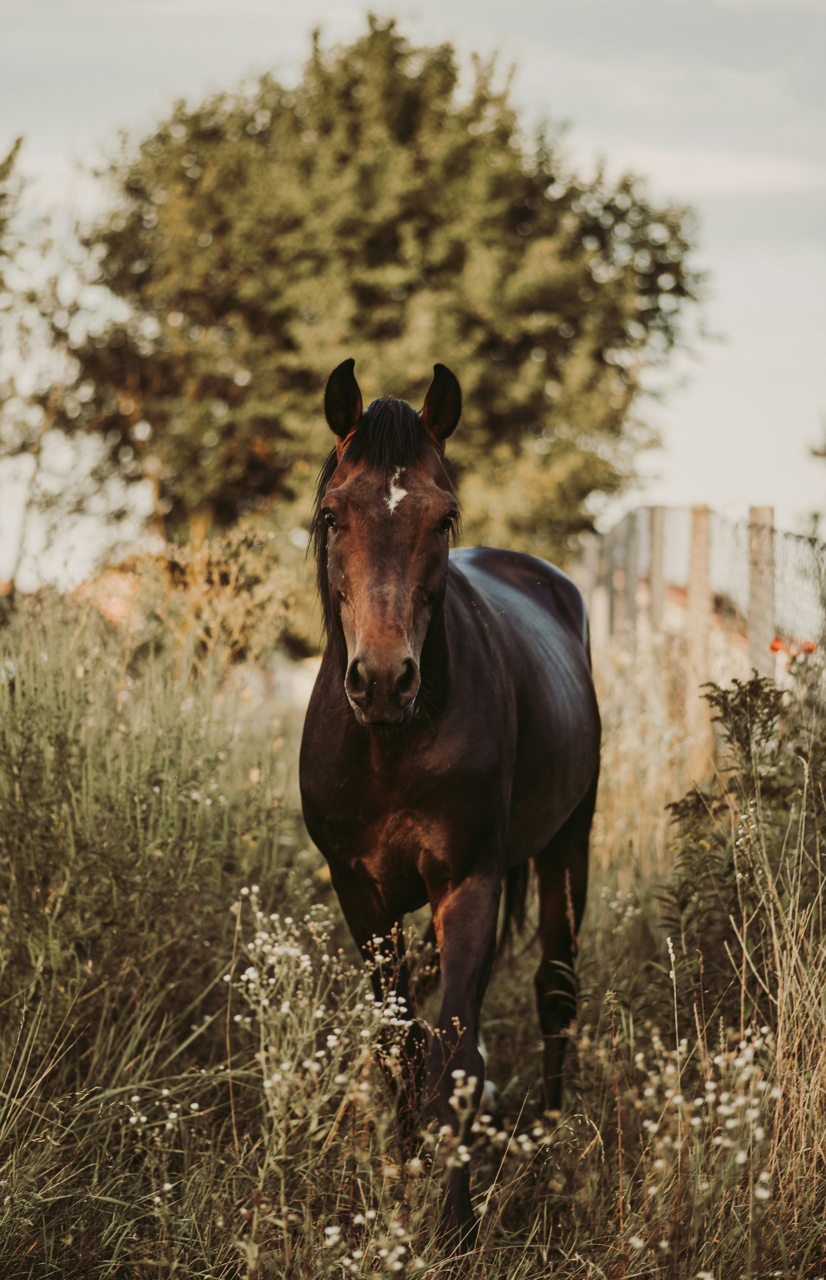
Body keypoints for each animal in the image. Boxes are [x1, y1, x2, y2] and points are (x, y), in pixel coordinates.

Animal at [299, 358, 601, 1243]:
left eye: (445, 517)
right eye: (332, 514)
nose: (384, 680)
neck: (391, 745)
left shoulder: (468, 882)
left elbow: (456, 1055)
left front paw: (456, 1222)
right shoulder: (360, 896)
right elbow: (399, 1045)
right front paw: (401, 1182)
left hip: (569, 845)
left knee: (556, 993)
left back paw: (547, 1149)